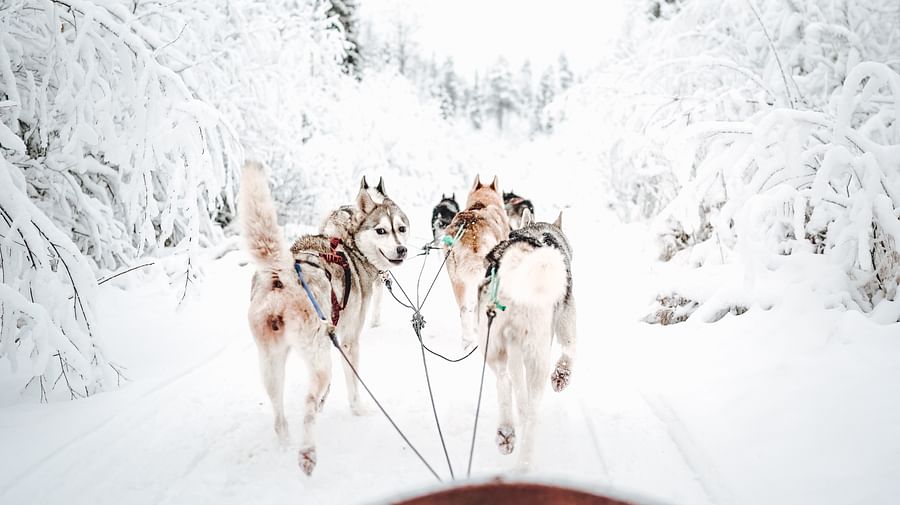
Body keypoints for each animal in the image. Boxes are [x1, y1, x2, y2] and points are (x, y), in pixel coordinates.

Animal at [239, 163, 408, 474]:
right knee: (306, 406)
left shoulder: (333, 336)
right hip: (319, 362)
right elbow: (353, 386)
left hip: (272, 363)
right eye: (381, 230)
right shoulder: (348, 341)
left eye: (401, 228)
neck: (347, 242)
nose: (402, 249)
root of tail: (283, 273)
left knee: (280, 416)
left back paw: (286, 445)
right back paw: (307, 453)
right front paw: (358, 409)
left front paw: (325, 402)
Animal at [478, 209, 576, 468]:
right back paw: (525, 462)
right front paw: (562, 376)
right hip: (538, 357)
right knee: (532, 413)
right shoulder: (566, 320)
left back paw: (506, 433)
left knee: (504, 381)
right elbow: (570, 351)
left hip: (493, 346)